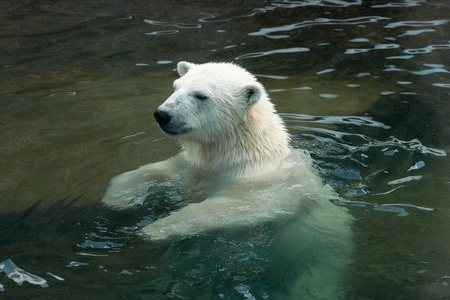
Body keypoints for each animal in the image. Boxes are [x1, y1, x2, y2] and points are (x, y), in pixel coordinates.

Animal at [102, 61, 352, 298]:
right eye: (176, 87)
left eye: (201, 95)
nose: (162, 114)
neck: (240, 155)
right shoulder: (194, 167)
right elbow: (157, 172)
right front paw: (117, 199)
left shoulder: (266, 184)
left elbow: (235, 208)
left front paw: (155, 229)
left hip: (319, 260)